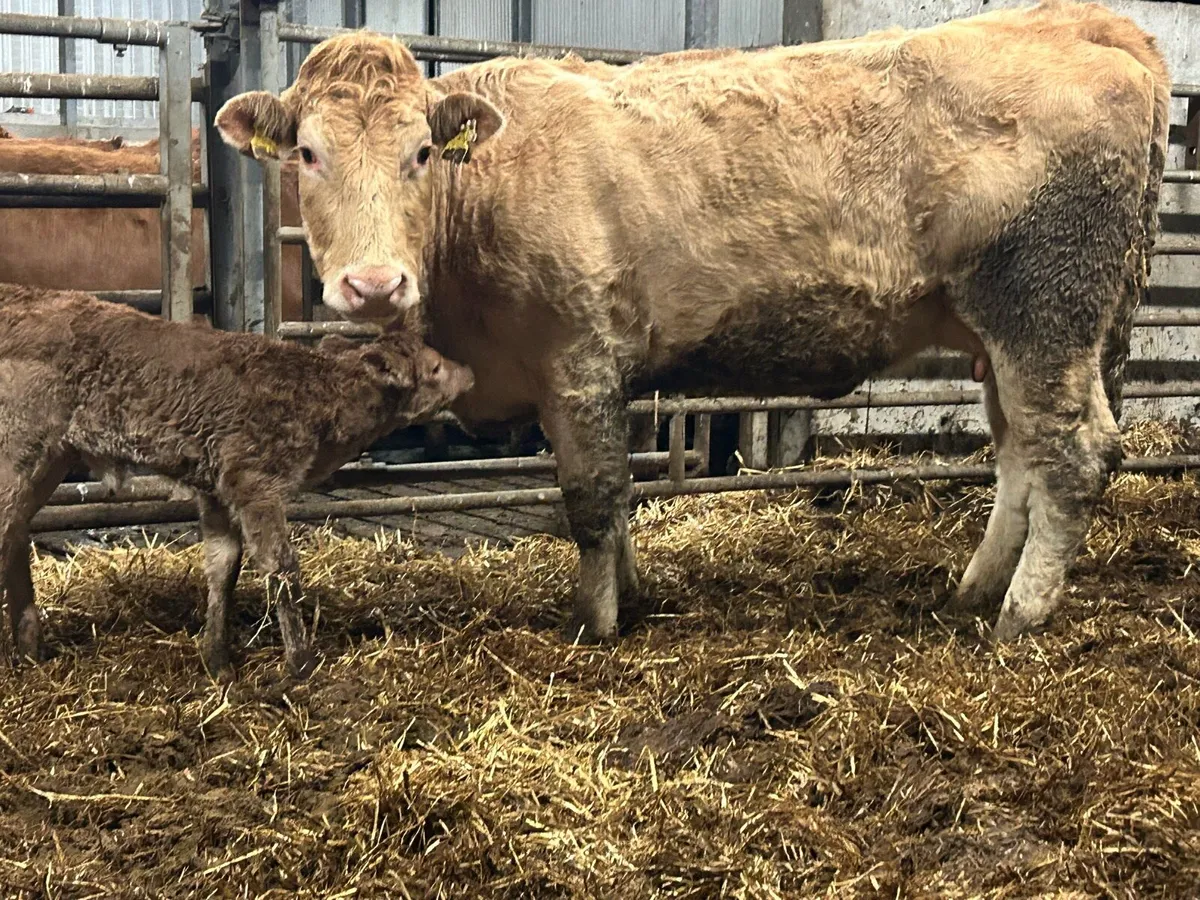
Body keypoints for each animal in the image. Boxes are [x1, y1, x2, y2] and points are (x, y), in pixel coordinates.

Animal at [0, 284, 473, 678]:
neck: (320, 396)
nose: (468, 372)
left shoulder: (216, 489)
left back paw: (30, 648)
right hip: (19, 451)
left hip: (49, 459)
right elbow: (281, 567)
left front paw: (219, 662)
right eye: (434, 367)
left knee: (15, 535)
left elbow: (223, 565)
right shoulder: (254, 481)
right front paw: (302, 665)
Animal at [216, 0, 1169, 644]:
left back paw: (1019, 614)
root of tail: (1078, 22)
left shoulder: (579, 360)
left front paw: (596, 622)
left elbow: (592, 497)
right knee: (1021, 456)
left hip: (1043, 309)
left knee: (1076, 453)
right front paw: (632, 593)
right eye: (308, 153)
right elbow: (620, 498)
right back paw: (974, 589)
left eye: (421, 153)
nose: (373, 284)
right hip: (1005, 334)